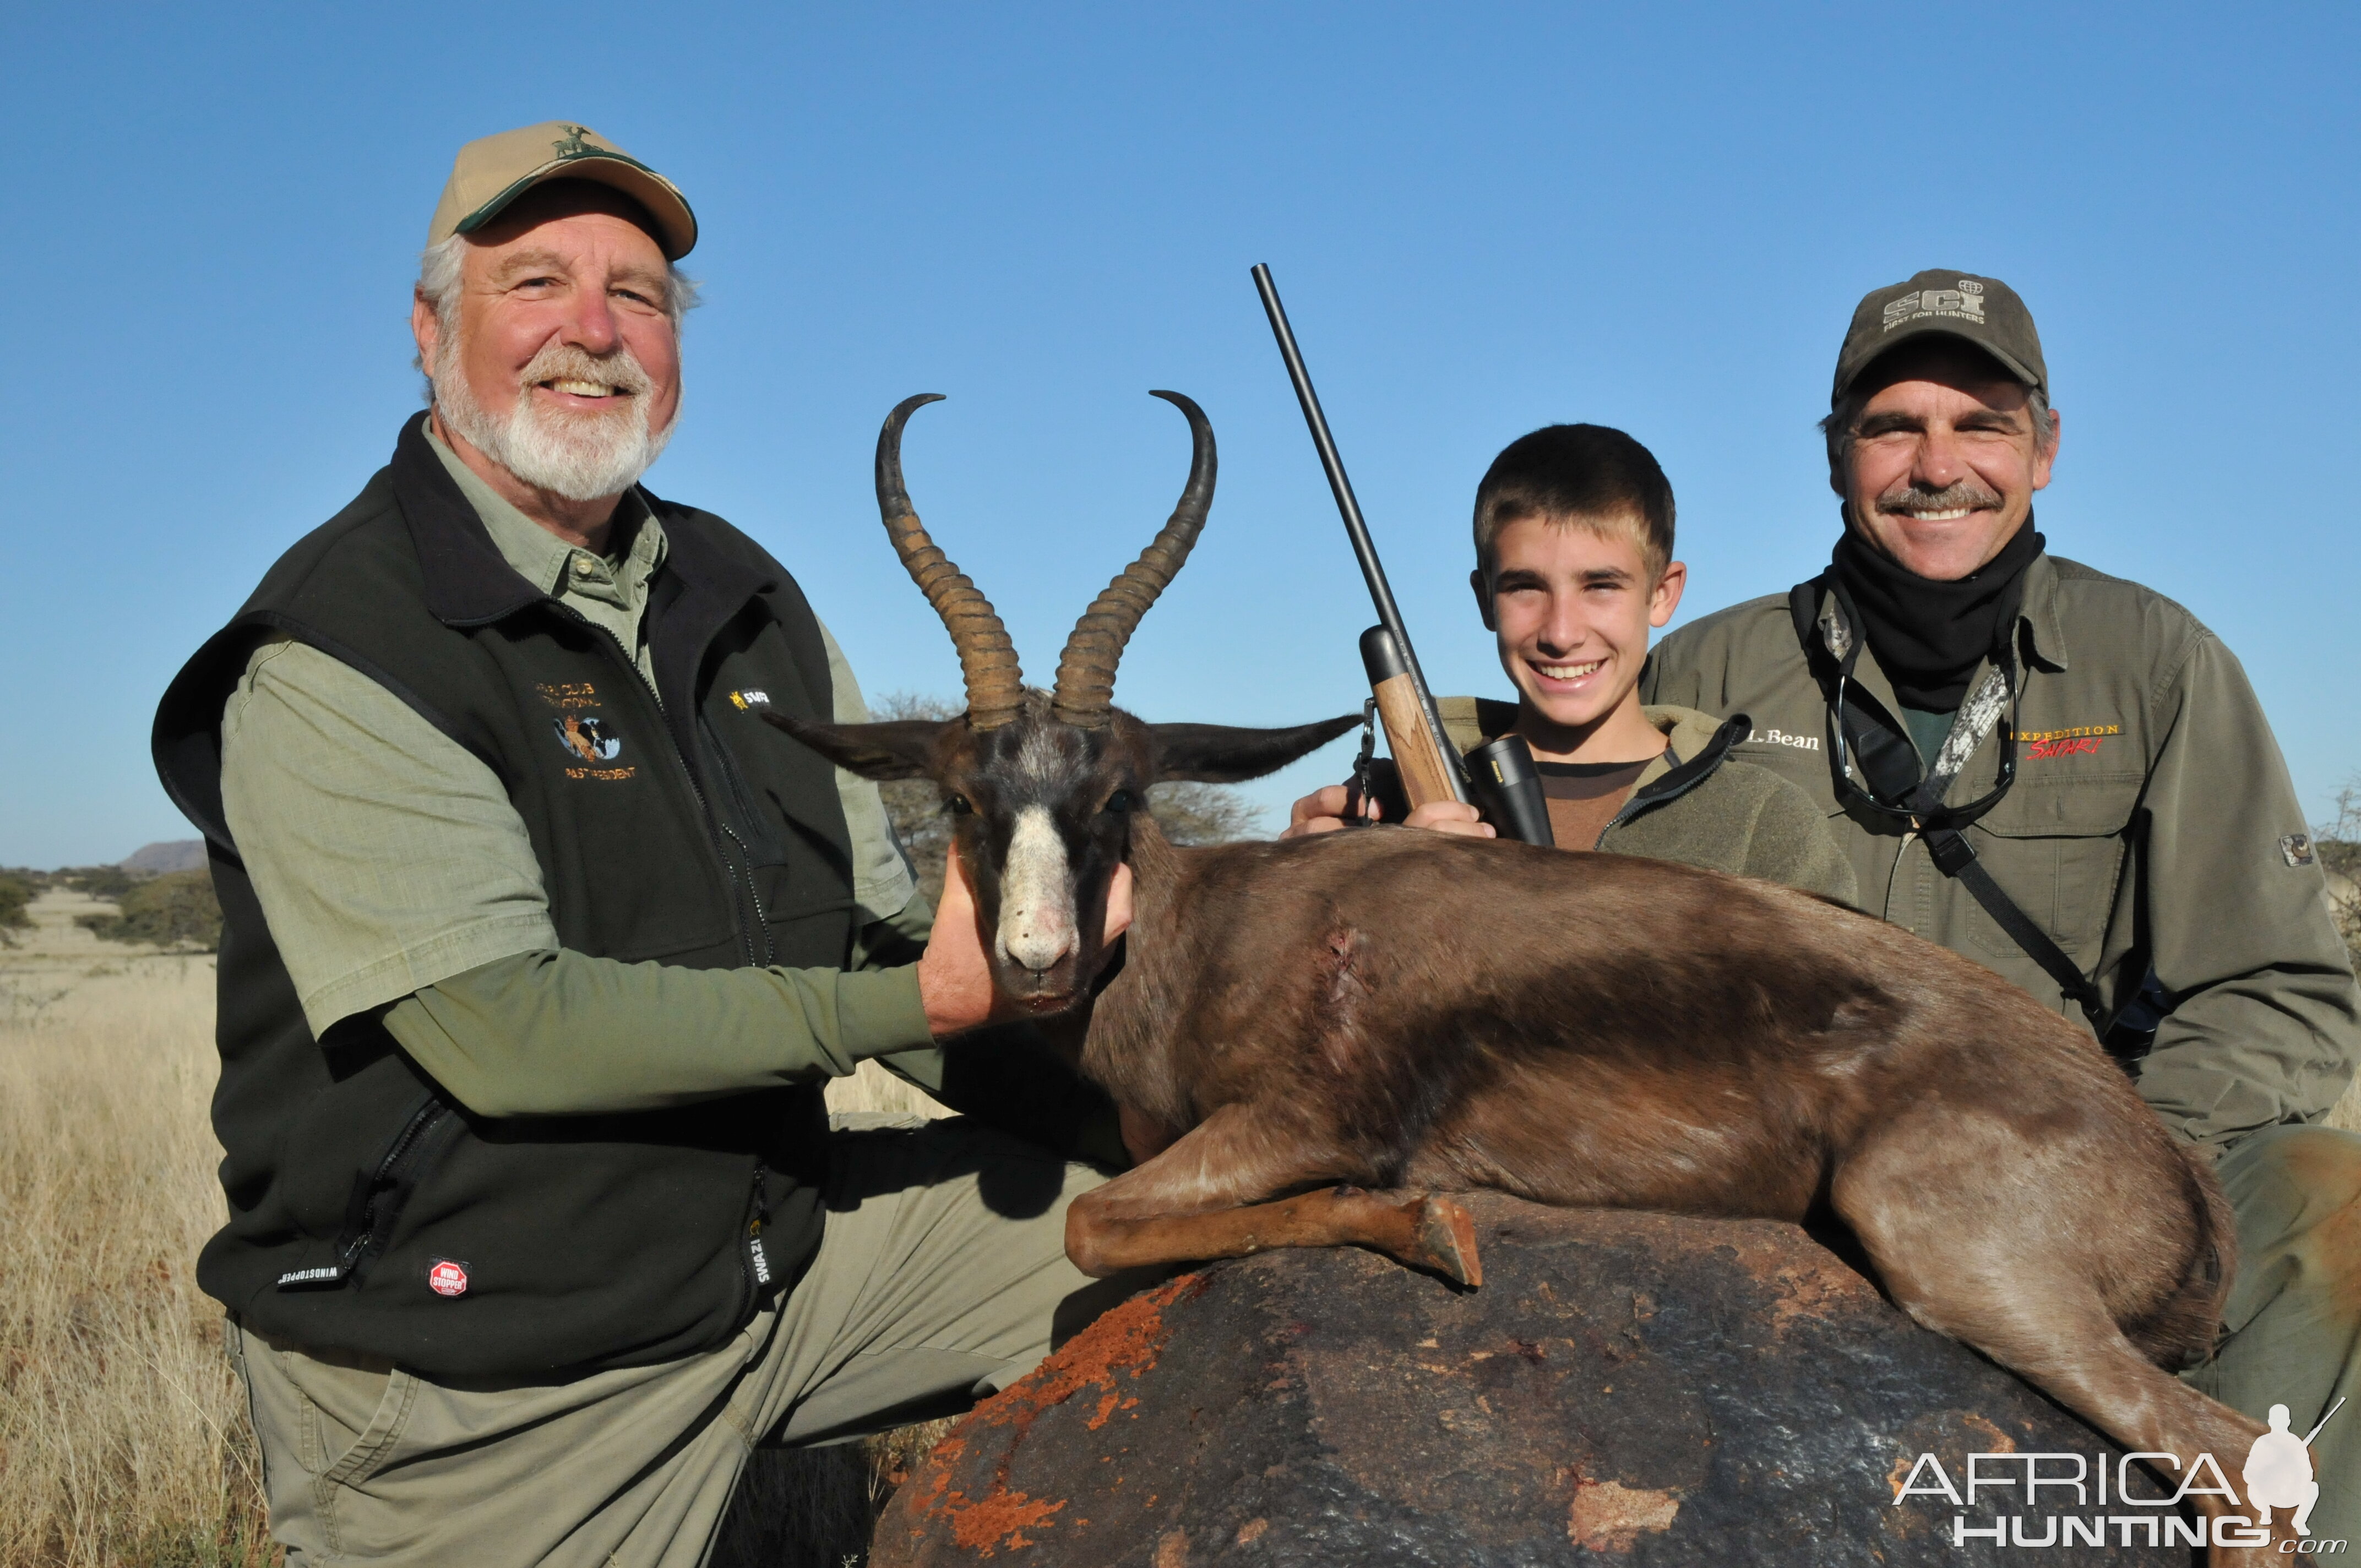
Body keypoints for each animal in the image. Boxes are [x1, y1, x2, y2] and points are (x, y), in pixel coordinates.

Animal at [774, 391, 2304, 1558]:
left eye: (1114, 795)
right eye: (963, 797)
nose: (1032, 960)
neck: (1216, 928)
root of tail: (2176, 1177)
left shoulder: (1308, 1119)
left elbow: (1098, 1231)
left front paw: (1426, 1228)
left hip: (1950, 1254)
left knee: (2236, 1467)